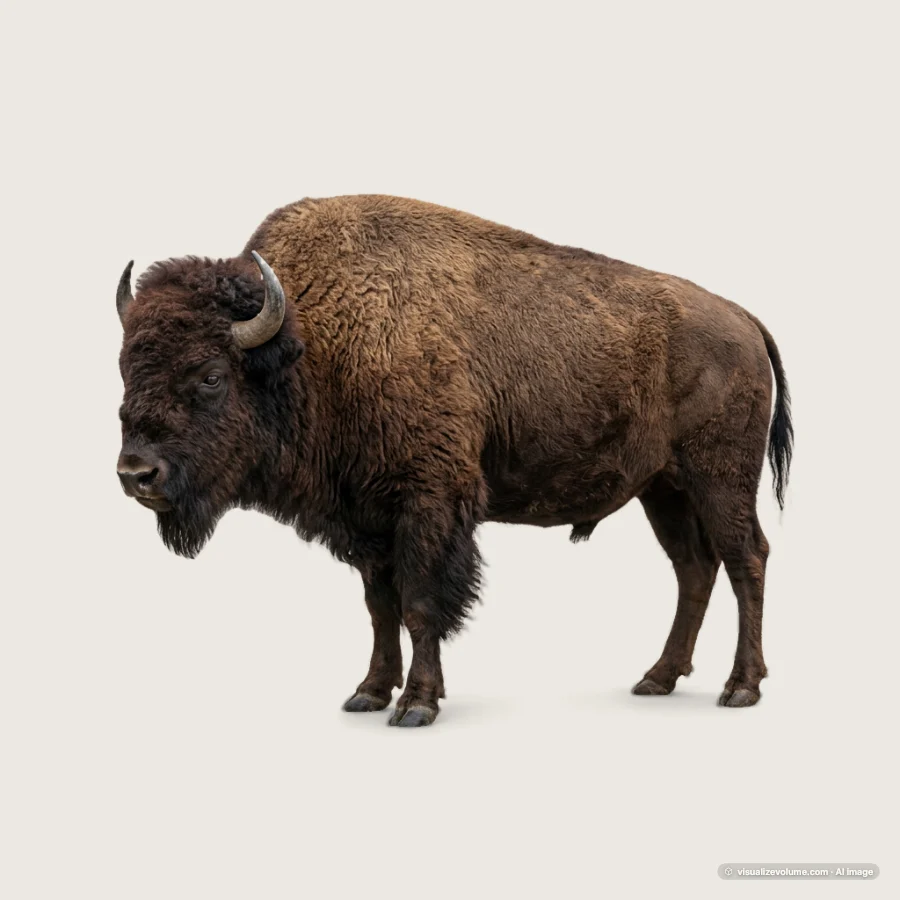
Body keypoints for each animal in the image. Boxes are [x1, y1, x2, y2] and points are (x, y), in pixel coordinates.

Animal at [116, 195, 792, 726]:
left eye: (209, 376)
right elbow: (381, 608)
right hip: (664, 489)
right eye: (124, 368)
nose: (135, 473)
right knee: (694, 568)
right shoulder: (366, 521)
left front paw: (416, 704)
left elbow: (421, 604)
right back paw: (658, 677)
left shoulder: (428, 504)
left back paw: (740, 688)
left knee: (746, 559)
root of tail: (744, 319)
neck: (313, 342)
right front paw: (368, 693)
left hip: (720, 478)